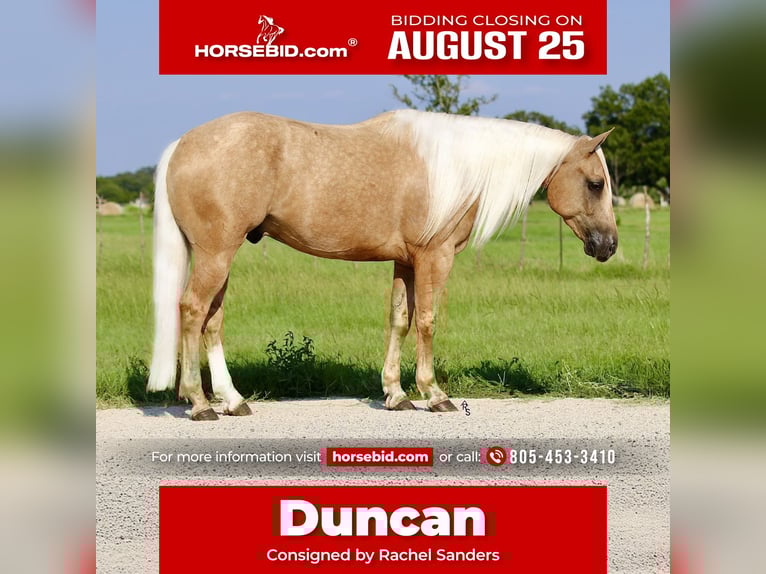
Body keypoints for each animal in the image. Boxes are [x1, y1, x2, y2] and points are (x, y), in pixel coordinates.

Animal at [147, 110, 617, 421]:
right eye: (596, 184)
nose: (609, 245)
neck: (456, 168)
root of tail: (182, 144)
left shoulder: (405, 262)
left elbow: (399, 321)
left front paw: (395, 394)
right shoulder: (434, 257)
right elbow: (426, 320)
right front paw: (434, 394)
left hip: (221, 257)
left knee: (212, 321)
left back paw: (233, 400)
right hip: (216, 254)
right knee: (192, 311)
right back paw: (199, 403)